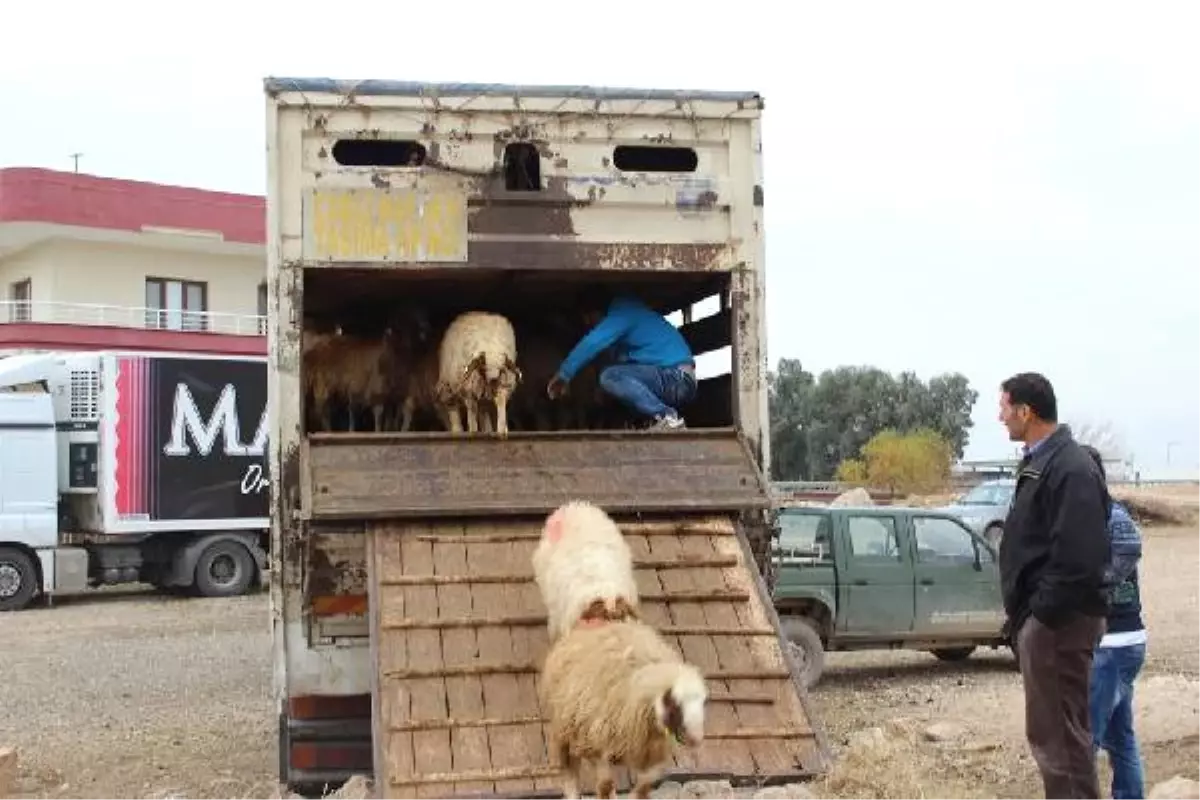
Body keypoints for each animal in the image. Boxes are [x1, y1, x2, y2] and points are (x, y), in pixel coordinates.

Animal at [540, 618, 705, 800]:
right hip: (567, 727)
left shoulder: (653, 756)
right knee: (570, 770)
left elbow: (642, 789)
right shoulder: (599, 746)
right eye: (674, 701)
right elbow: (605, 785)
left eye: (703, 702)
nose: (695, 739)